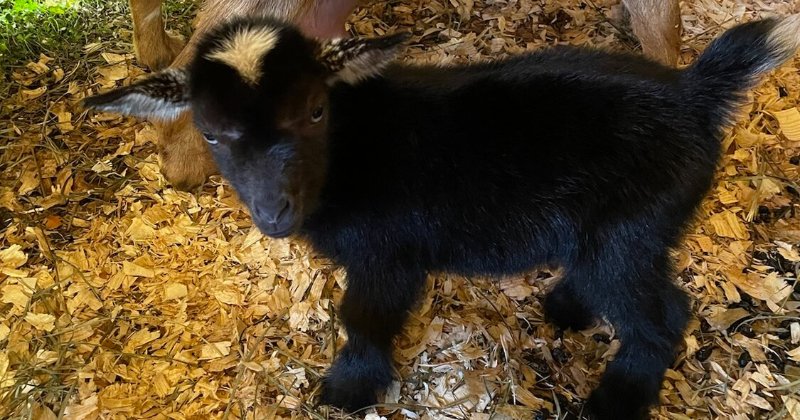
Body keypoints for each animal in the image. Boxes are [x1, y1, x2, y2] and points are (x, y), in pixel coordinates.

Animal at [86, 14, 800, 418]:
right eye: (209, 132)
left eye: (316, 110)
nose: (275, 214)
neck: (352, 150)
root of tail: (695, 93)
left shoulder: (386, 253)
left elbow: (363, 317)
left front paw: (348, 389)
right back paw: (567, 308)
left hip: (633, 227)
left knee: (661, 313)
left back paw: (616, 401)